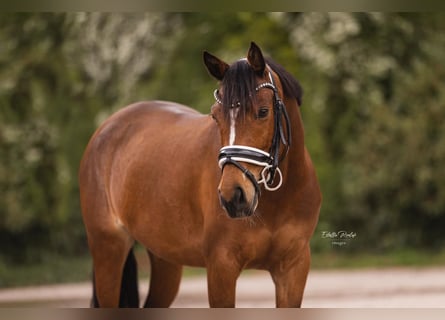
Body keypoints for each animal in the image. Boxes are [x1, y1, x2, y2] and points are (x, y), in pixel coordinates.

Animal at [80, 42, 320, 308]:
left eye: (263, 111)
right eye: (215, 115)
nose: (233, 196)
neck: (278, 201)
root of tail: (106, 127)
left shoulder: (293, 270)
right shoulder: (221, 267)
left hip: (166, 259)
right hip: (108, 250)